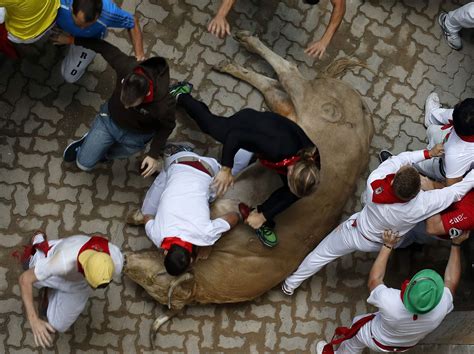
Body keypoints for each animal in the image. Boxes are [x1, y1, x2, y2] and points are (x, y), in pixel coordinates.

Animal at [123, 30, 374, 334]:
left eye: (154, 279)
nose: (125, 261)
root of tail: (365, 112)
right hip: (298, 107)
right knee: (284, 77)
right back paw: (237, 52)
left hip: (301, 104)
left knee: (283, 78)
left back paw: (235, 57)